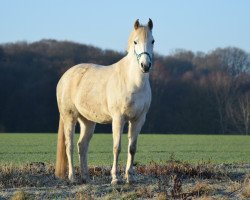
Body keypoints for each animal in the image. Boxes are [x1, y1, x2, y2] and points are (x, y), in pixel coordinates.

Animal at [54, 18, 154, 184]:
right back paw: (72, 177)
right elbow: (117, 147)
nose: (145, 66)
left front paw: (129, 177)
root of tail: (65, 76)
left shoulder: (138, 119)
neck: (132, 82)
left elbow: (132, 148)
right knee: (69, 146)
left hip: (87, 121)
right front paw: (115, 178)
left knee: (82, 145)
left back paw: (85, 177)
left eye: (153, 41)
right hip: (70, 117)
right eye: (135, 41)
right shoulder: (118, 119)